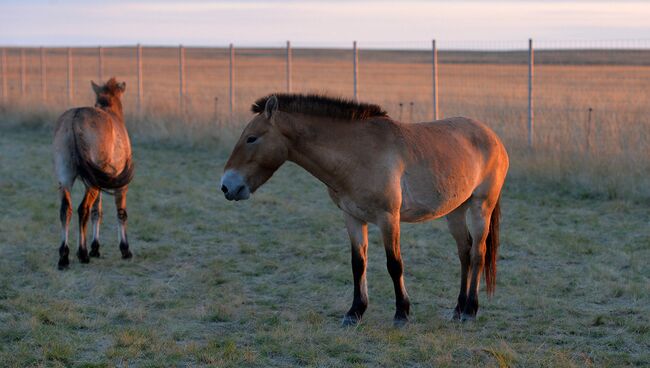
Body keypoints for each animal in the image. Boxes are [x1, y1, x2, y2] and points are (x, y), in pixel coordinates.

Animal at [52, 77, 134, 270]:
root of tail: (74, 120)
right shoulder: (120, 185)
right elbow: (121, 213)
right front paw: (125, 249)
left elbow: (98, 212)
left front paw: (95, 248)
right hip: (93, 183)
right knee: (83, 209)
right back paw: (81, 253)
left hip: (66, 178)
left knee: (66, 210)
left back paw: (64, 256)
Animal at [220, 93, 508, 324]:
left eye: (251, 138)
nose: (226, 186)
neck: (357, 154)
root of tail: (493, 137)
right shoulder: (352, 217)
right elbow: (358, 263)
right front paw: (355, 312)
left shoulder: (388, 218)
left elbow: (394, 264)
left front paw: (401, 313)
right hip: (455, 211)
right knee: (464, 252)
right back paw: (458, 308)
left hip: (481, 206)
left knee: (478, 253)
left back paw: (470, 310)